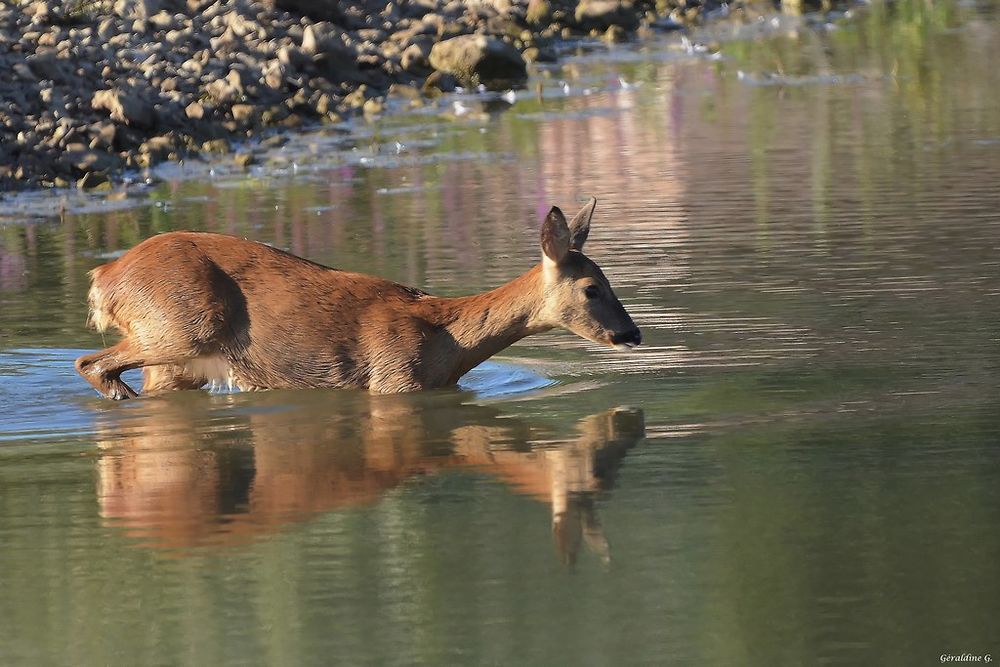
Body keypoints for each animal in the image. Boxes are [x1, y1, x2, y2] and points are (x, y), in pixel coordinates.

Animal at [76, 196, 640, 400]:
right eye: (592, 288)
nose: (632, 333)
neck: (447, 342)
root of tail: (105, 277)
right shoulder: (393, 378)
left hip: (177, 361)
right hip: (181, 327)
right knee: (90, 362)